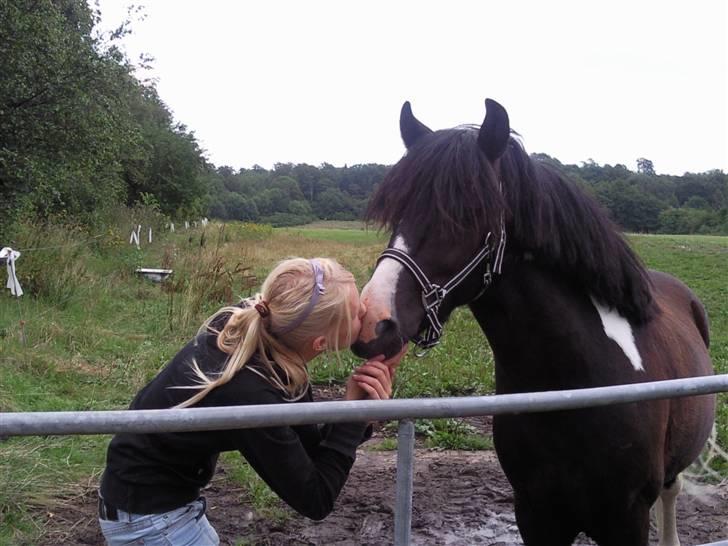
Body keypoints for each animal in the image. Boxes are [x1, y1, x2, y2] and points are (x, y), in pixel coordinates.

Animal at [351, 99, 716, 546]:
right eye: (396, 211)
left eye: (467, 213)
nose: (372, 323)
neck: (572, 388)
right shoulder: (535, 513)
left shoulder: (627, 518)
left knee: (673, 493)